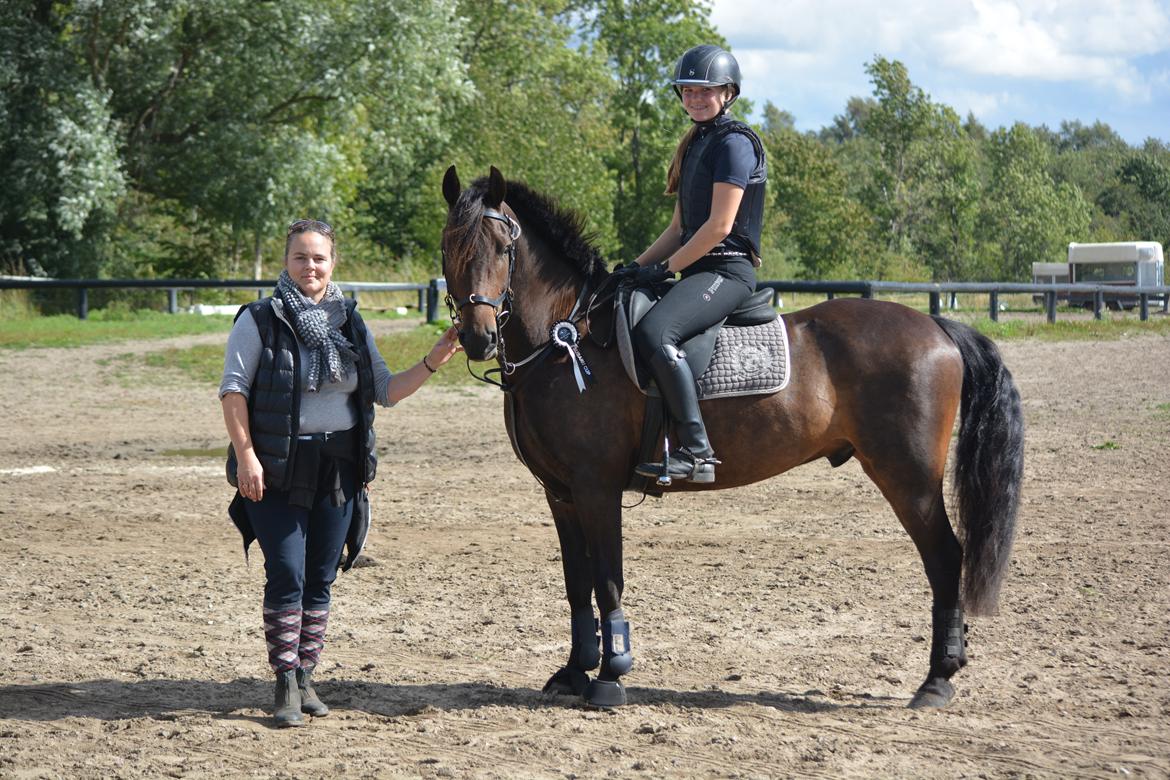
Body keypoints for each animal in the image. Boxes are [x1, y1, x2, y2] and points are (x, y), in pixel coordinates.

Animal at [439, 166, 1024, 715]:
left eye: (503, 247)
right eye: (449, 247)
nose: (477, 336)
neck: (567, 338)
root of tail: (937, 327)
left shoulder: (596, 488)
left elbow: (607, 579)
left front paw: (610, 676)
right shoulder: (560, 494)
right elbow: (576, 581)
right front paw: (573, 672)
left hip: (909, 476)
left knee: (945, 557)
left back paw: (938, 678)